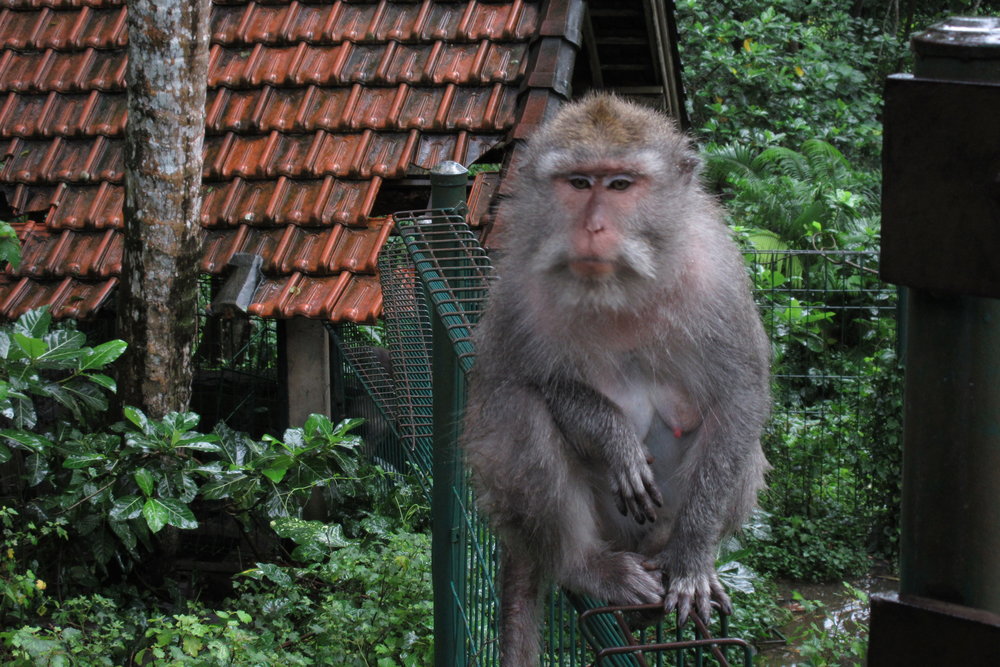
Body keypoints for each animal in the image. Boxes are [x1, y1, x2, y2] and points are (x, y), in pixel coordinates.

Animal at [461, 93, 770, 665]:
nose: (593, 228)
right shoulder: (518, 284)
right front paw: (615, 439)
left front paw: (692, 561)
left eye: (621, 184)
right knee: (520, 411)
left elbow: (740, 396)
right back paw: (583, 566)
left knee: (739, 440)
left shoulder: (716, 276)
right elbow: (524, 379)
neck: (620, 287)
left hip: (652, 532)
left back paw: (679, 560)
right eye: (580, 183)